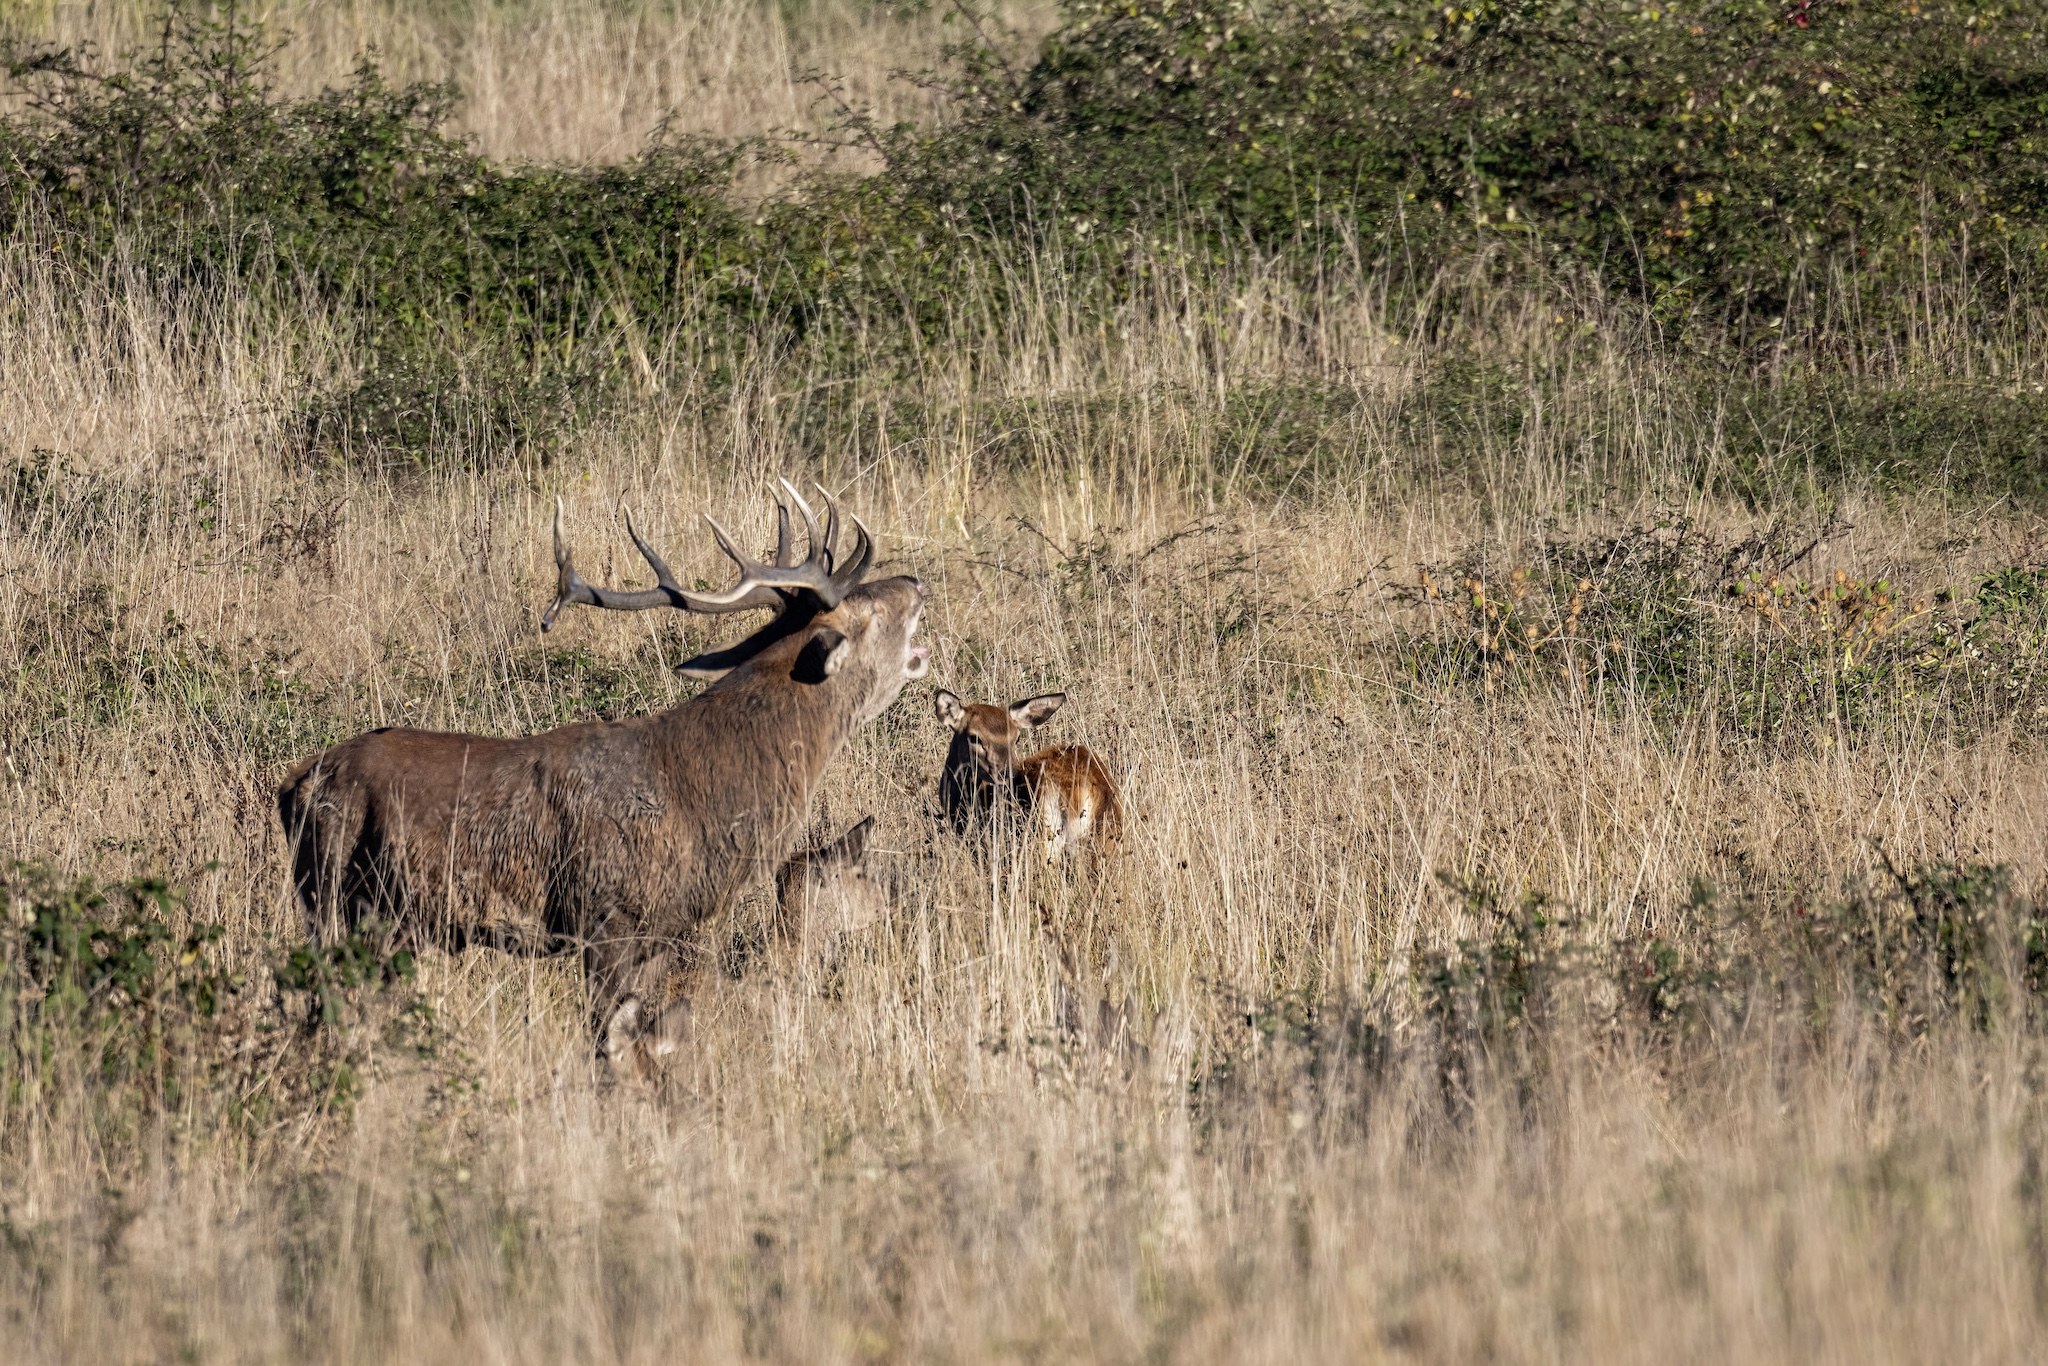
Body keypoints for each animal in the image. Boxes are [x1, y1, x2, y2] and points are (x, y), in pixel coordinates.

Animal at [276, 483, 929, 1077]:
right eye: (869, 612)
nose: (916, 583)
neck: (714, 793)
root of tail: (297, 785)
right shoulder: (606, 919)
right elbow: (607, 1045)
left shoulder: (660, 932)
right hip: (343, 901)